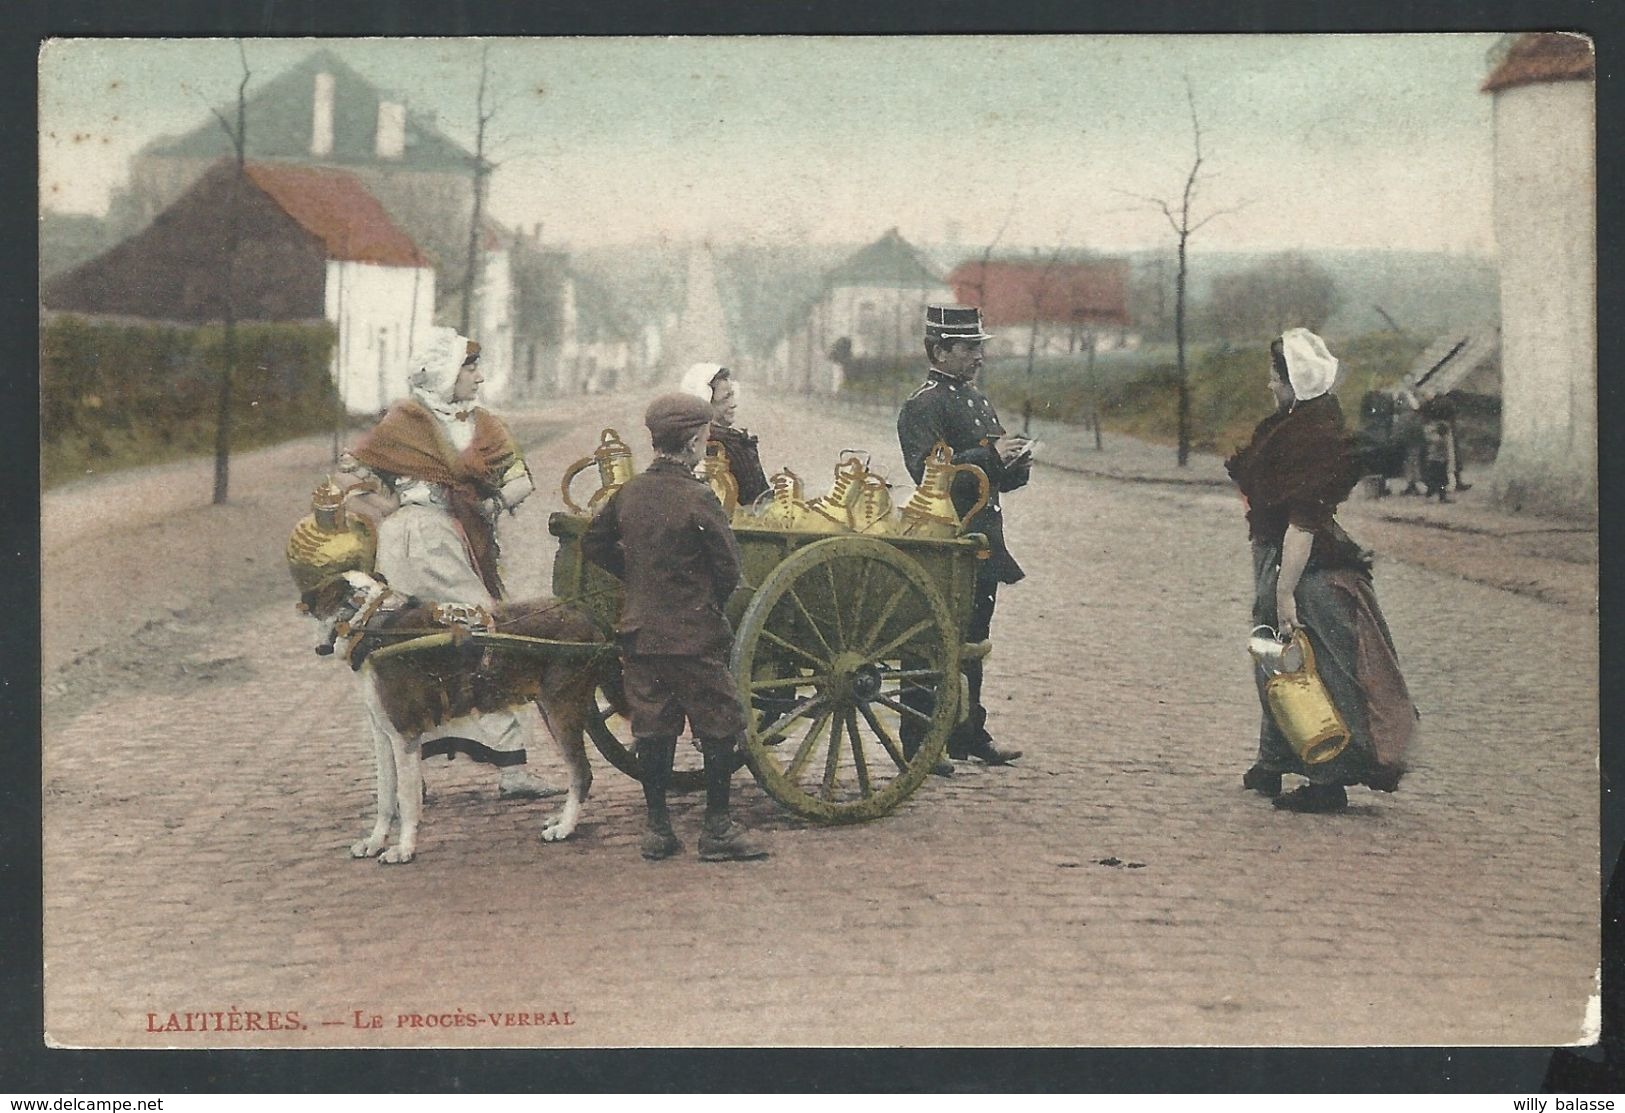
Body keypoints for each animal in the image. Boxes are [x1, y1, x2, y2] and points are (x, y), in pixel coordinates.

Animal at [302, 568, 617, 864]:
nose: (318, 647)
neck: (370, 625)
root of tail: (586, 612)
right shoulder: (383, 735)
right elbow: (385, 797)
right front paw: (375, 842)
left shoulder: (404, 736)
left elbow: (407, 798)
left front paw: (404, 849)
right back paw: (560, 818)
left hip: (561, 708)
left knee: (581, 772)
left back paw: (565, 827)